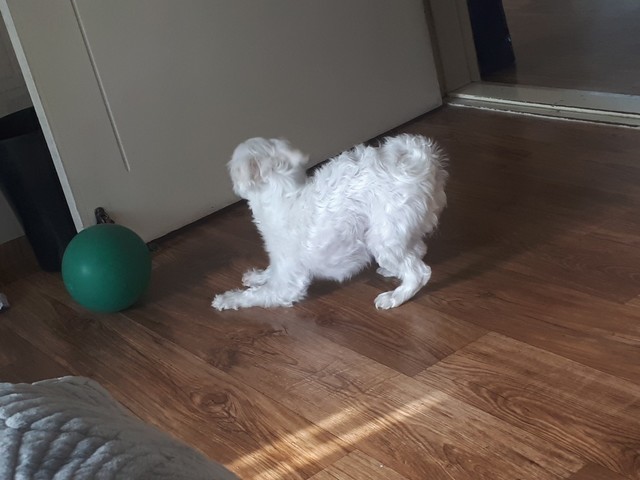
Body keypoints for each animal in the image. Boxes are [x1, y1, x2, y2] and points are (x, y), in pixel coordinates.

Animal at [212, 134, 447, 311]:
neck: (284, 192)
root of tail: (422, 162)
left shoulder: (287, 283)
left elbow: (256, 295)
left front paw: (227, 299)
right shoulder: (280, 262)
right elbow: (269, 271)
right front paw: (258, 276)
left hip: (382, 237)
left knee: (419, 272)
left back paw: (394, 297)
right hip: (398, 229)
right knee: (418, 250)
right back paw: (392, 271)